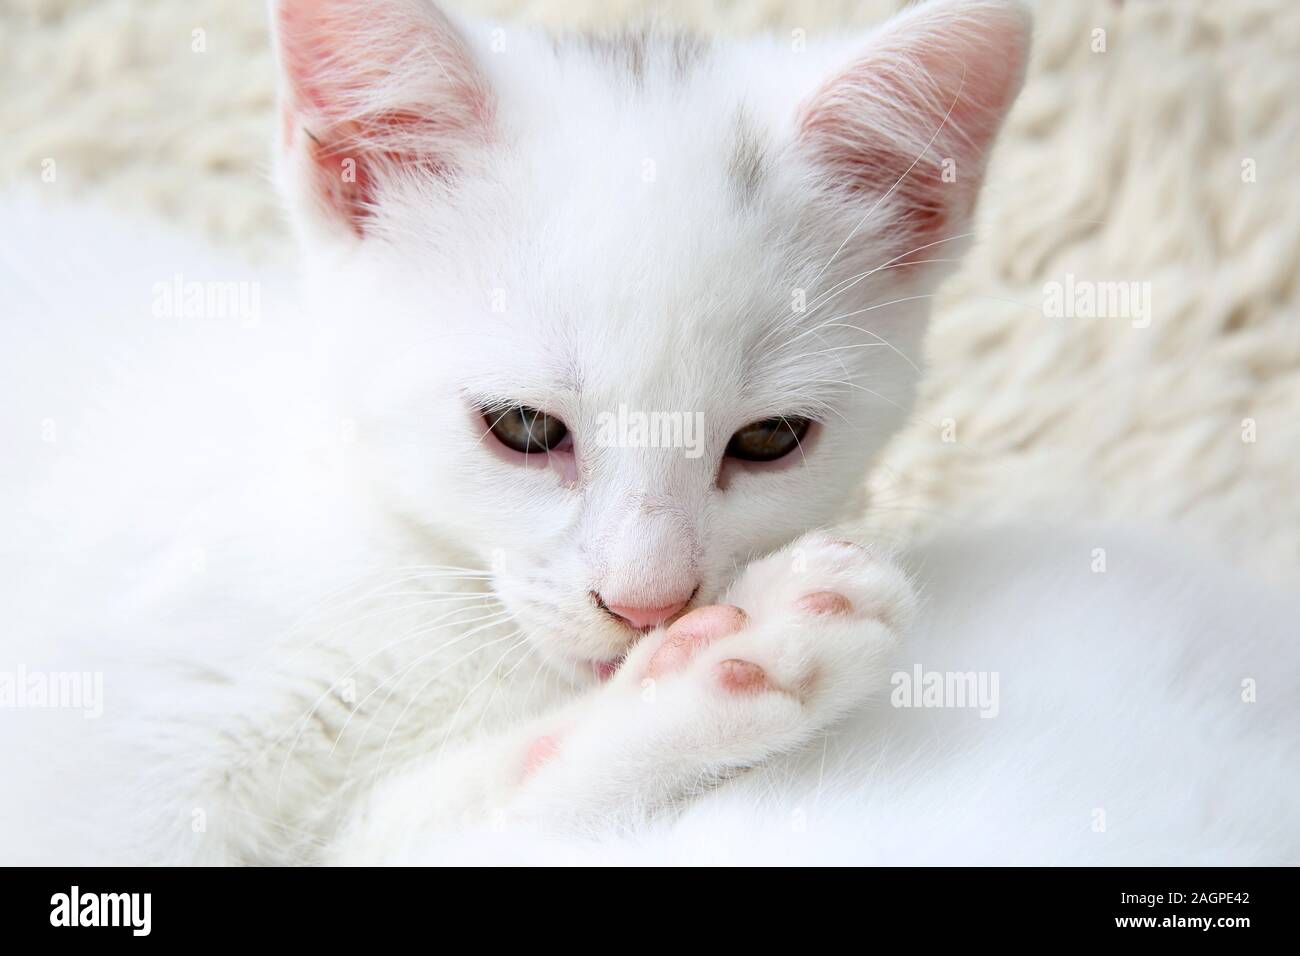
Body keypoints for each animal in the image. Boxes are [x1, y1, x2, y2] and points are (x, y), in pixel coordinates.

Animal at [2, 0, 1300, 868]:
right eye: (524, 426)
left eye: (770, 438)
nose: (648, 603)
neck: (405, 569)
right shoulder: (99, 775)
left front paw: (724, 667)